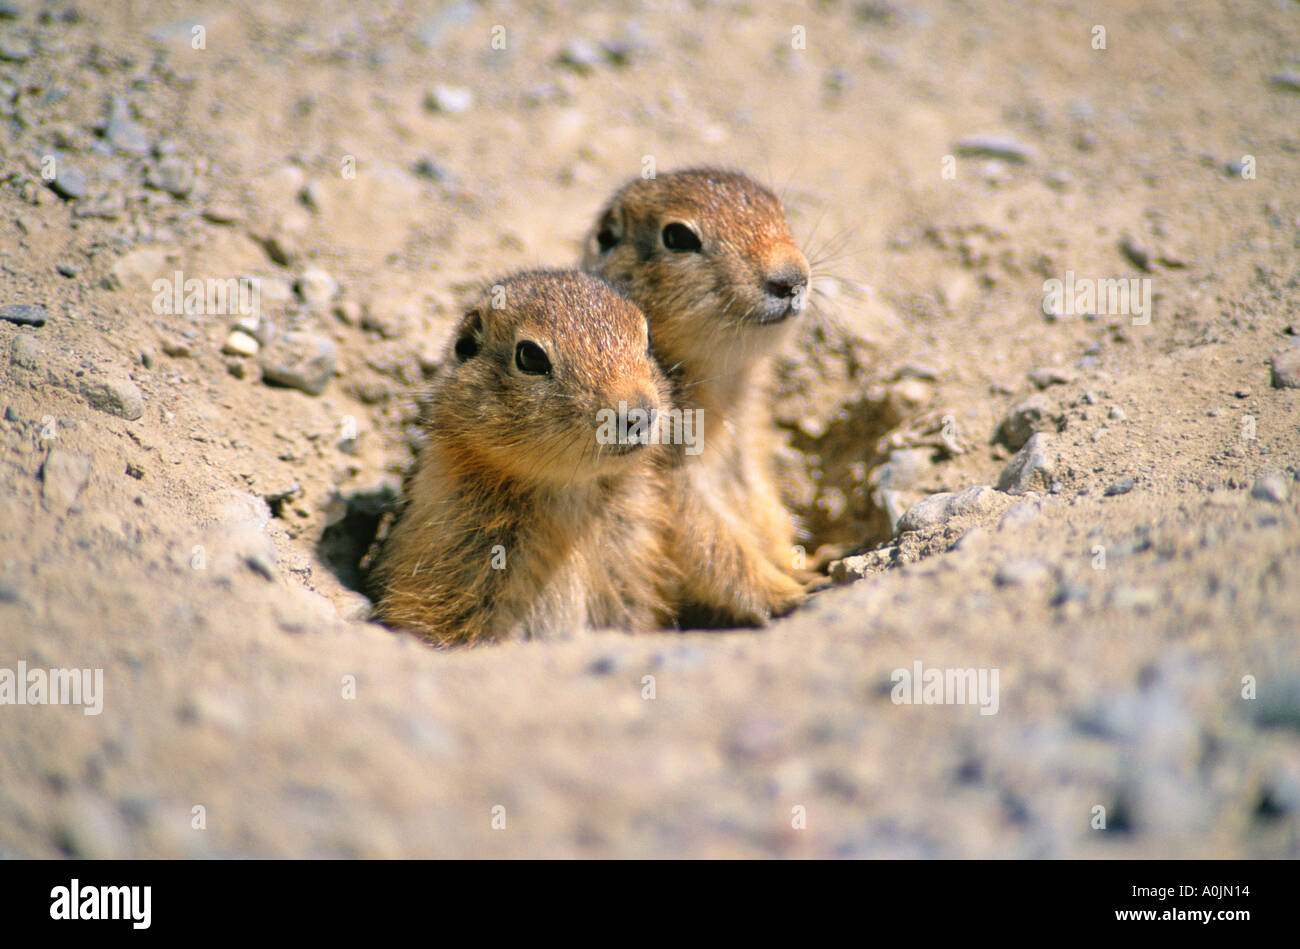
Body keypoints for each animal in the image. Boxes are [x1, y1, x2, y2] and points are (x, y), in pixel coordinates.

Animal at [582, 167, 818, 627]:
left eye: (780, 213)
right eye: (678, 236)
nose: (792, 280)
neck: (723, 381)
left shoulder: (745, 448)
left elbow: (763, 508)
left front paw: (807, 562)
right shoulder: (671, 474)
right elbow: (709, 537)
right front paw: (792, 591)